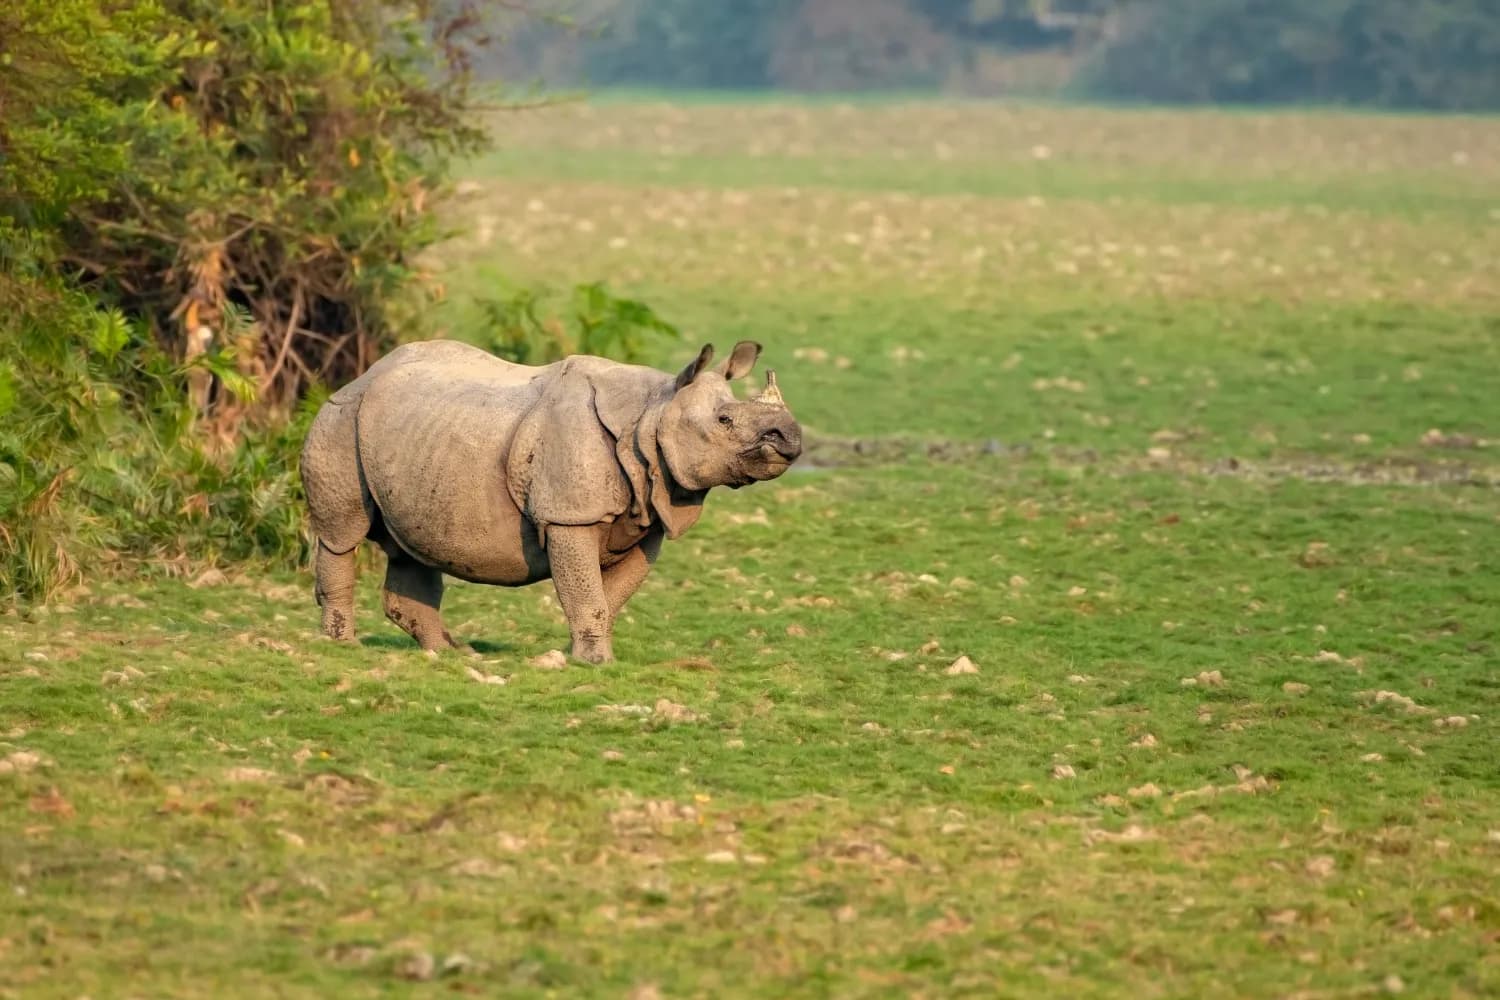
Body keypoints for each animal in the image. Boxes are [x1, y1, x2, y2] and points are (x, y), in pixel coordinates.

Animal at [299, 339, 801, 662]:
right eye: (724, 420)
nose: (791, 438)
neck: (652, 412)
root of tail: (362, 376)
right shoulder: (569, 516)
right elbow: (586, 591)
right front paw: (596, 662)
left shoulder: (649, 519)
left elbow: (608, 596)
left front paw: (576, 654)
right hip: (340, 419)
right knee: (342, 535)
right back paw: (344, 646)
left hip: (414, 437)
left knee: (413, 546)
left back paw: (451, 654)